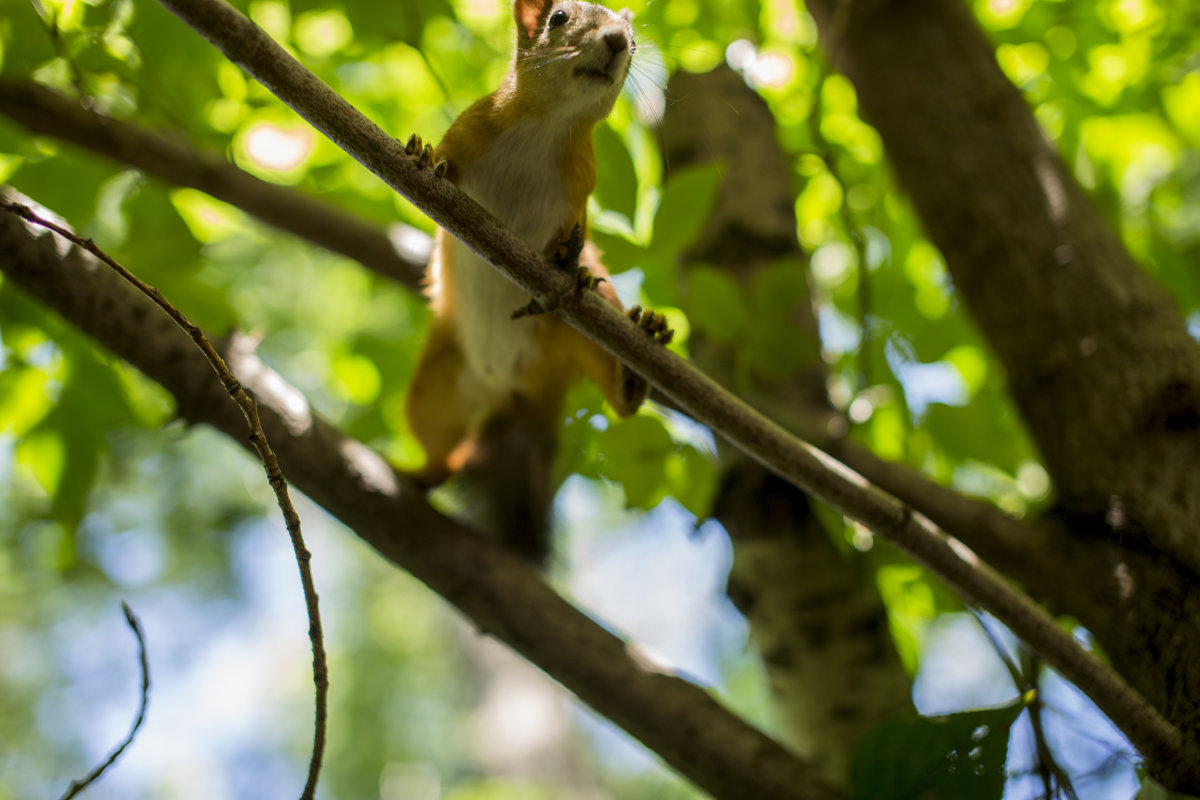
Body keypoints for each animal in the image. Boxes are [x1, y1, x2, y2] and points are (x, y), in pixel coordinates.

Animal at [405, 0, 672, 566]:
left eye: (635, 39)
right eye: (559, 17)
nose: (618, 41)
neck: (550, 125)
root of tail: (514, 395)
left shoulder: (580, 193)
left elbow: (575, 244)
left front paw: (574, 270)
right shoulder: (469, 129)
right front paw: (420, 158)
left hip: (569, 342)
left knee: (617, 396)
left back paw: (640, 353)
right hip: (436, 387)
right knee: (440, 448)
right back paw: (423, 473)